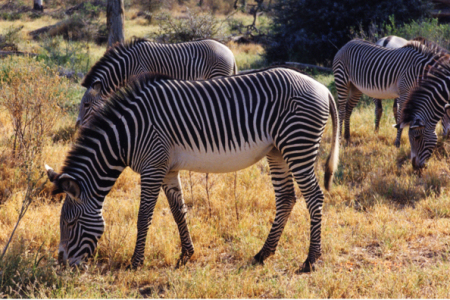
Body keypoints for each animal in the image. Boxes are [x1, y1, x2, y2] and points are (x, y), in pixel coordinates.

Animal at [46, 67, 342, 274]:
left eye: (70, 223)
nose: (62, 265)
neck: (127, 135)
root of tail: (320, 87)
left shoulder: (152, 167)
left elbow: (144, 217)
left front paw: (135, 262)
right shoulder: (167, 169)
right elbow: (179, 212)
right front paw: (186, 254)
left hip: (298, 144)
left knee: (314, 197)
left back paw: (311, 260)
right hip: (277, 150)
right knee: (287, 198)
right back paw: (263, 254)